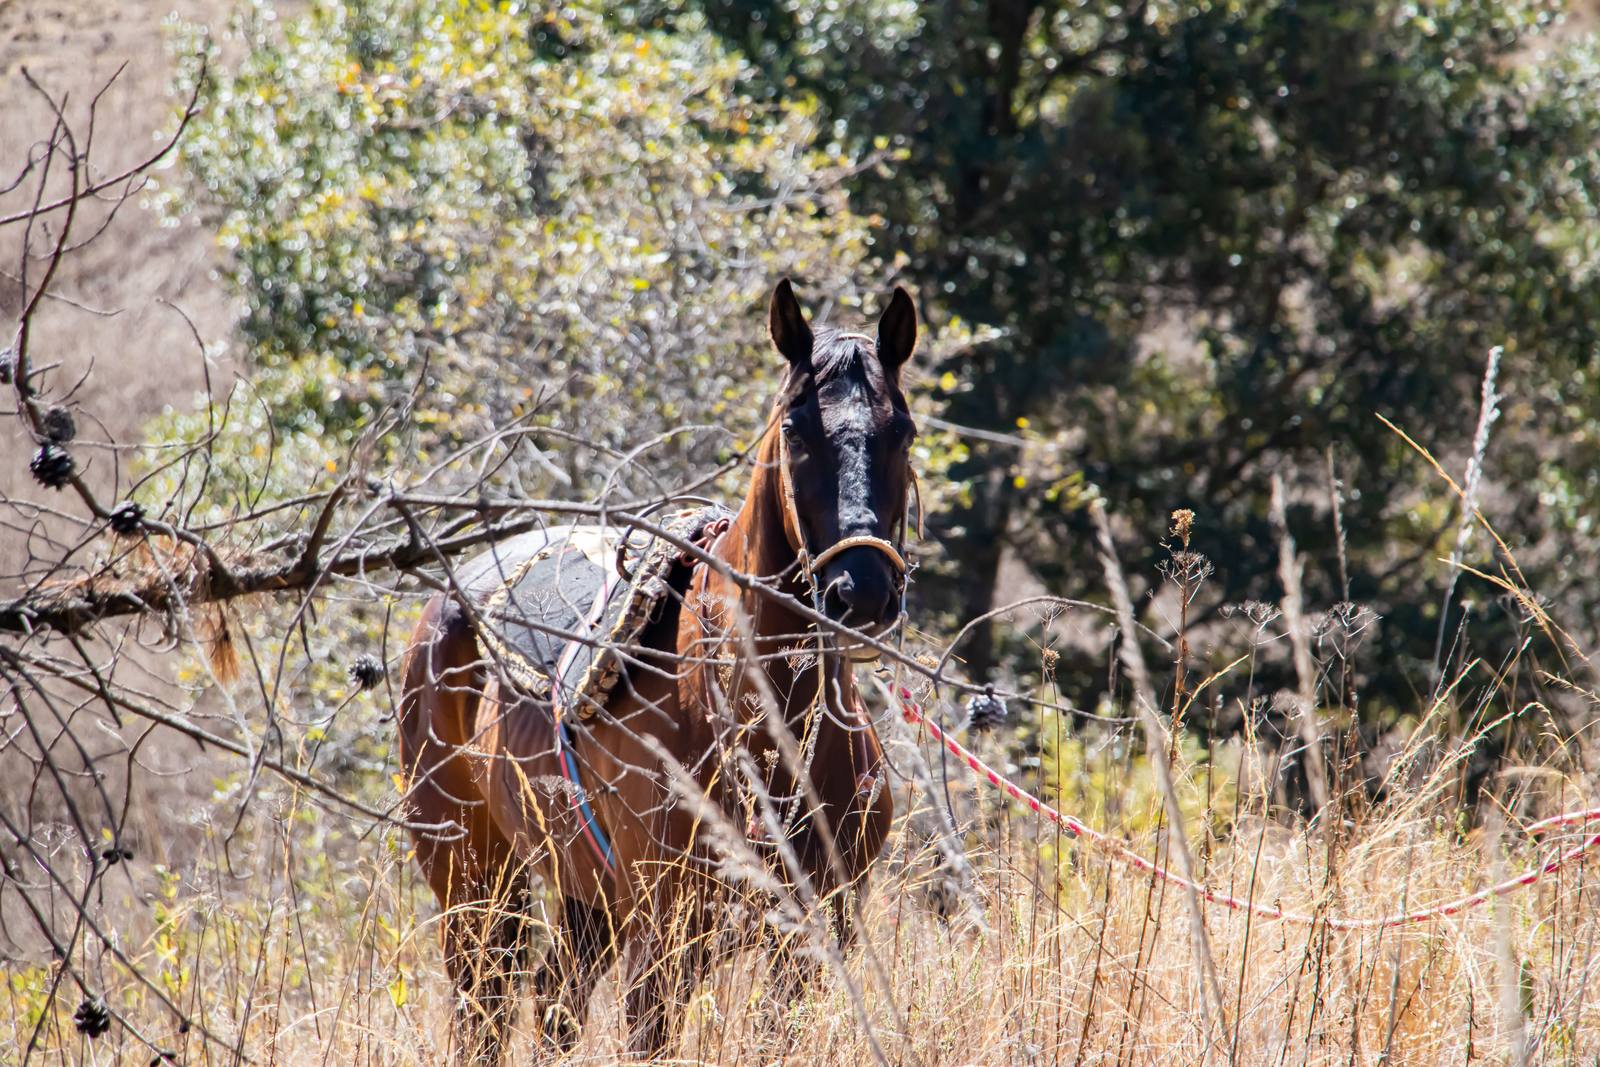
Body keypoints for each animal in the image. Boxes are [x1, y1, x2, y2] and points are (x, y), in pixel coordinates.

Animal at [396, 279, 920, 1063]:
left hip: (584, 902)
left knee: (554, 1005)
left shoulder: (816, 938)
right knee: (482, 1012)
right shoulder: (664, 945)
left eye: (904, 433)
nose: (860, 592)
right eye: (796, 432)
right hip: (473, 885)